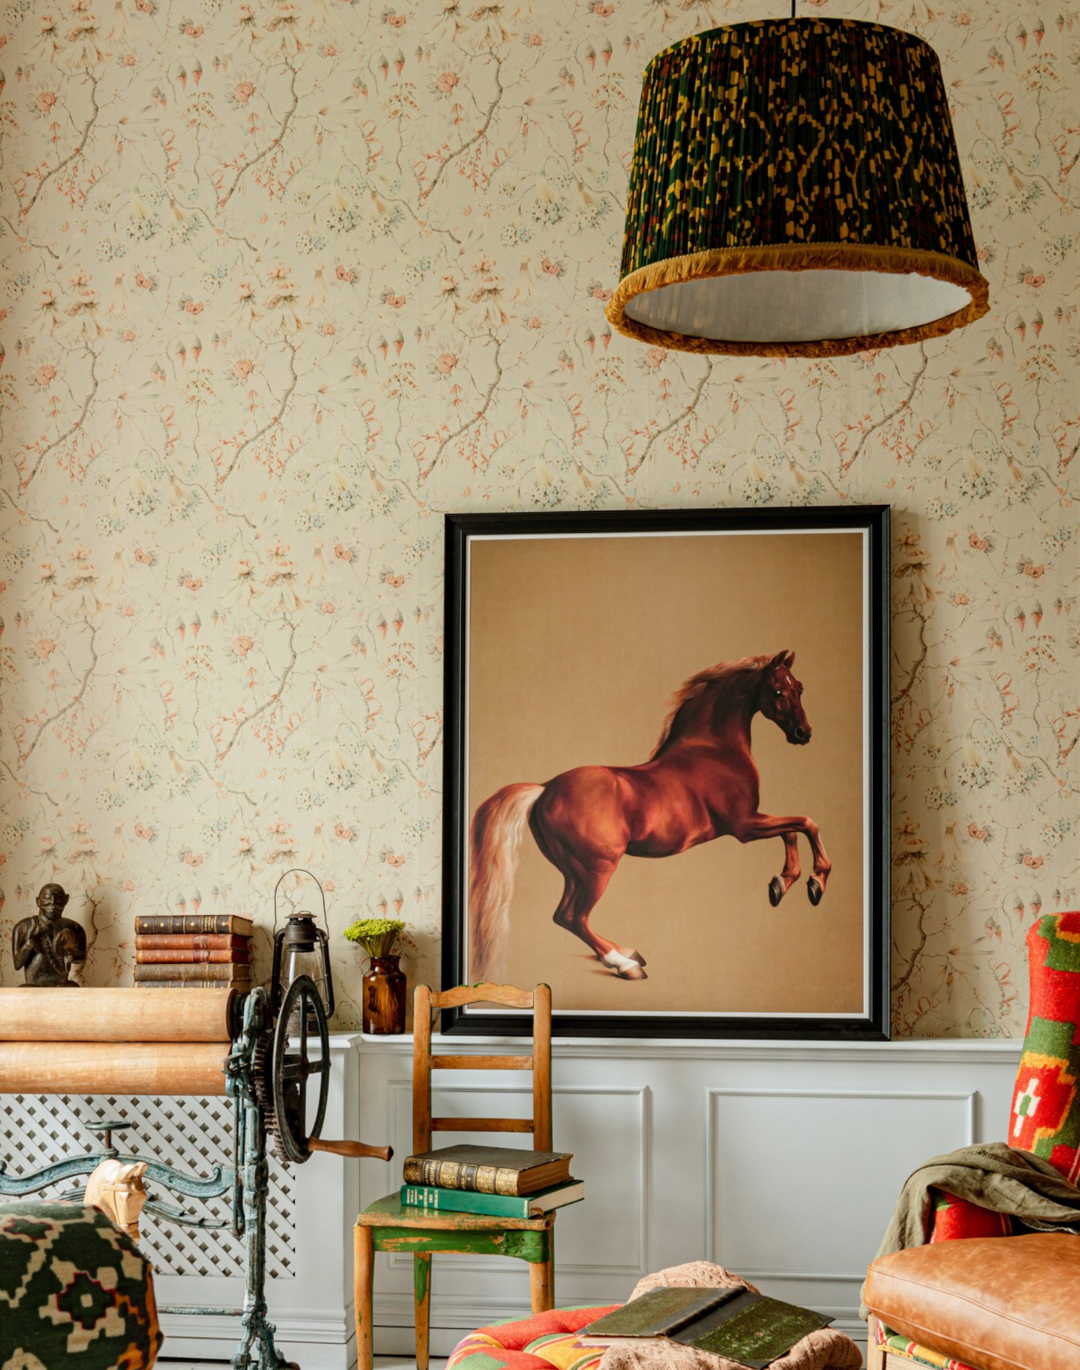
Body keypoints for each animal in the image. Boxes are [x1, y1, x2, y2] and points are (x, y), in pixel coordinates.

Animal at [468, 649, 833, 980]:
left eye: (800, 688)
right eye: (777, 690)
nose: (803, 733)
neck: (714, 750)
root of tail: (544, 789)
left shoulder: (753, 821)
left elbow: (792, 830)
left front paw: (781, 884)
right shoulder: (744, 825)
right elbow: (806, 823)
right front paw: (815, 882)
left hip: (574, 871)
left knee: (567, 916)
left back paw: (626, 952)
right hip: (597, 868)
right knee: (572, 916)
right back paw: (624, 964)